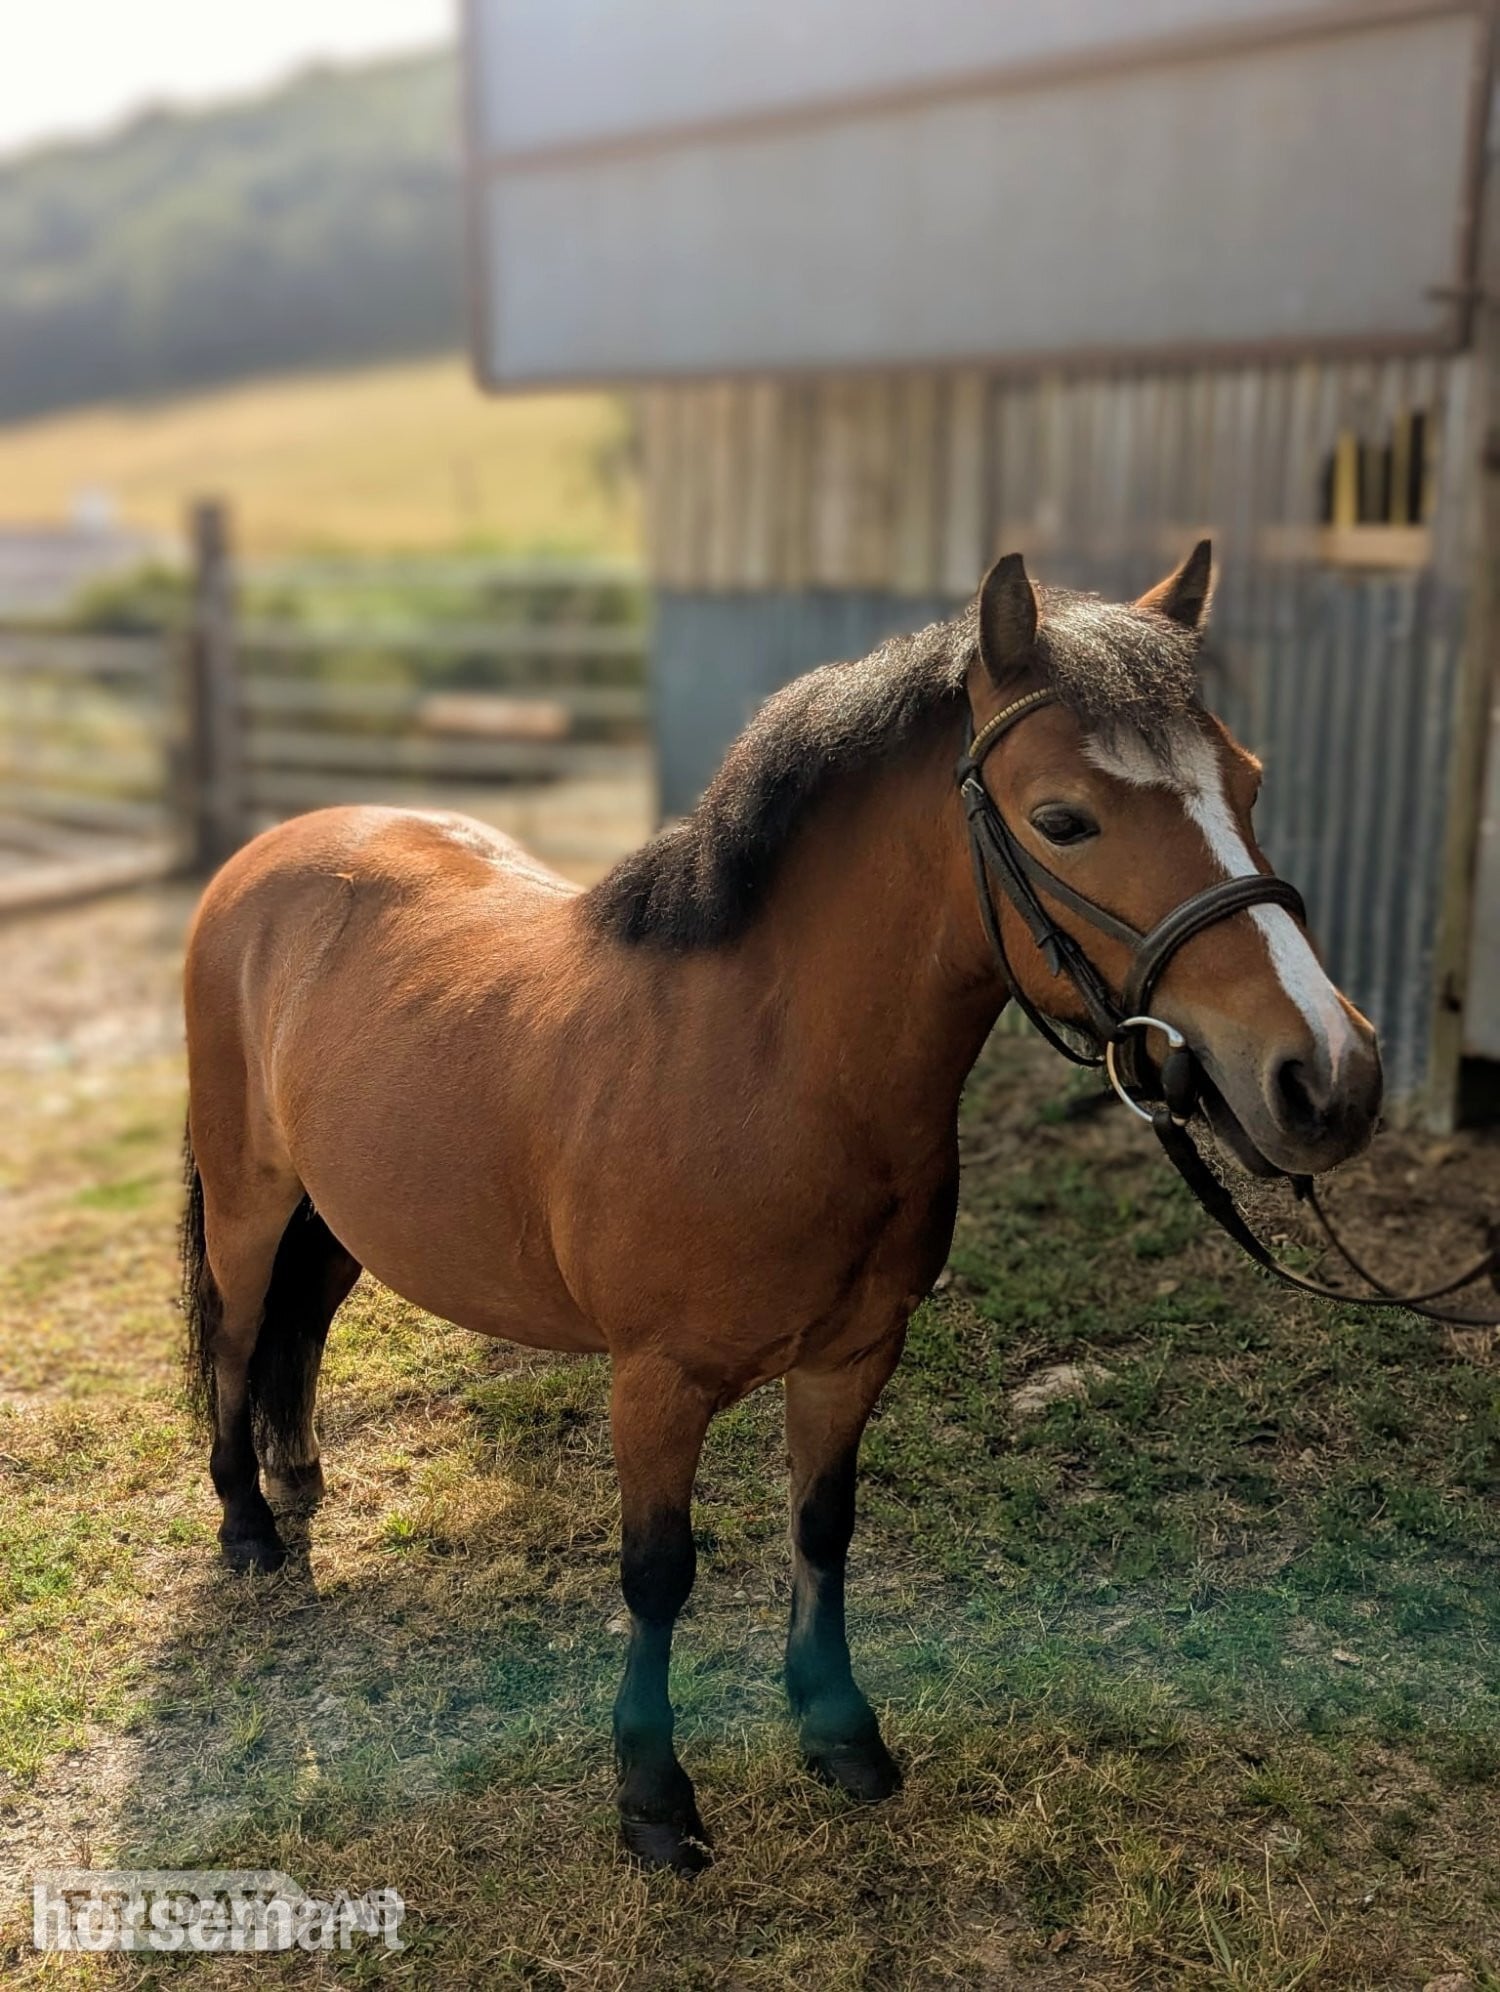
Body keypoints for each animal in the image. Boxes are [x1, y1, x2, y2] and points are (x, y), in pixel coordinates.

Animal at [181, 545, 1382, 1873]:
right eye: (1063, 818)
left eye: (1248, 782)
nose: (1328, 1077)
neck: (772, 1071)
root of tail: (274, 852)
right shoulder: (654, 1383)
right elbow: (658, 1574)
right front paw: (654, 1797)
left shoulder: (852, 1357)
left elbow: (823, 1529)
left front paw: (838, 1732)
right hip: (248, 1199)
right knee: (237, 1334)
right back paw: (249, 1525)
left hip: (341, 1217)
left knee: (302, 1325)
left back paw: (298, 1472)